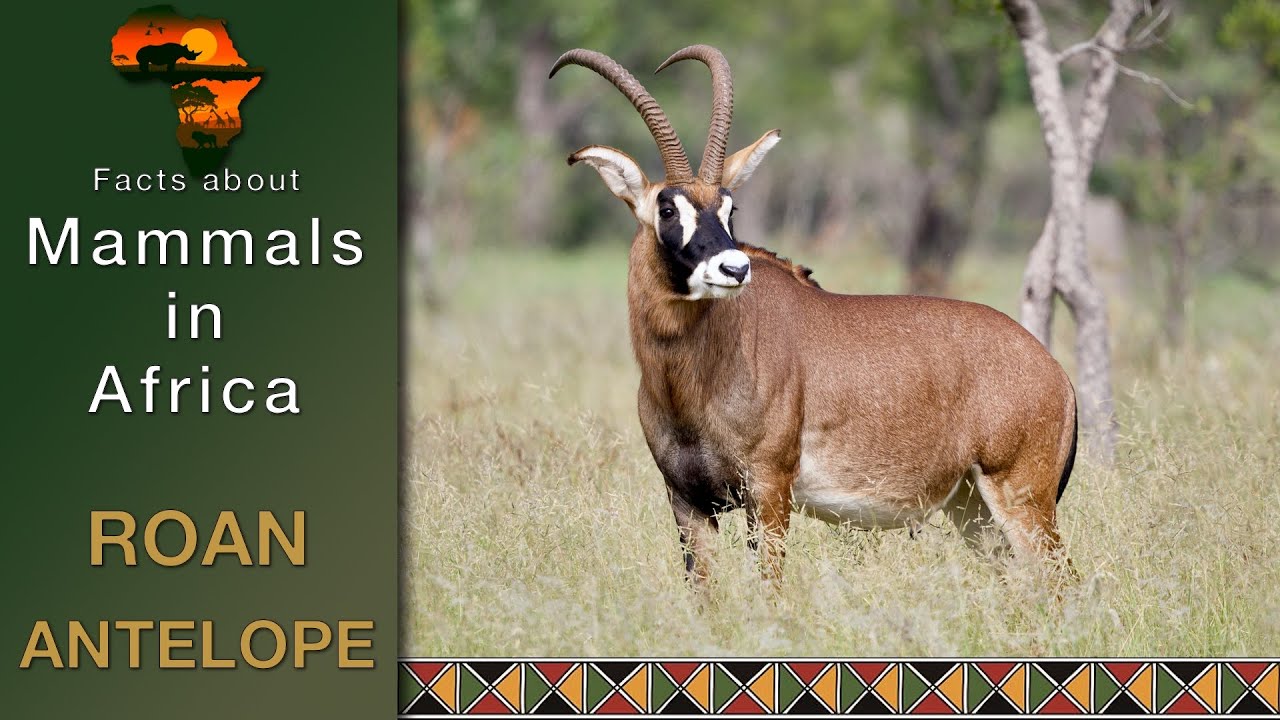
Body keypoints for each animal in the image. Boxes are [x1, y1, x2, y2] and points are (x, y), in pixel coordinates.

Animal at [550, 45, 1078, 587]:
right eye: (668, 208)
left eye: (730, 208)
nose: (734, 268)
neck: (688, 377)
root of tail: (1054, 372)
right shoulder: (688, 501)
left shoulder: (769, 491)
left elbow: (770, 589)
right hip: (974, 510)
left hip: (1020, 496)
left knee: (1063, 583)